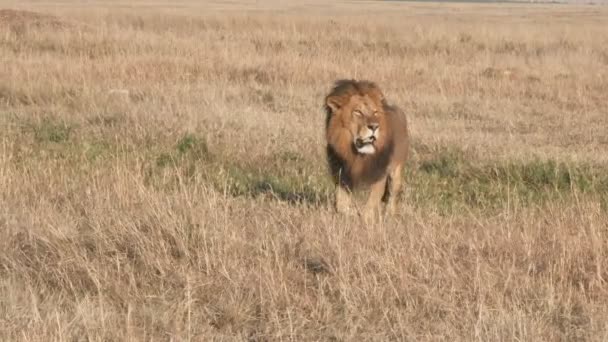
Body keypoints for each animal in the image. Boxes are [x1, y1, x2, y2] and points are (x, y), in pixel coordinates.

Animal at [324, 79, 408, 220]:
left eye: (375, 112)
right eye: (358, 112)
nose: (374, 126)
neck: (356, 155)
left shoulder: (379, 173)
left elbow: (371, 204)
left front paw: (366, 219)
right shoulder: (341, 175)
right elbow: (341, 206)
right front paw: (352, 212)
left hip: (396, 171)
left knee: (393, 195)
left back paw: (390, 215)